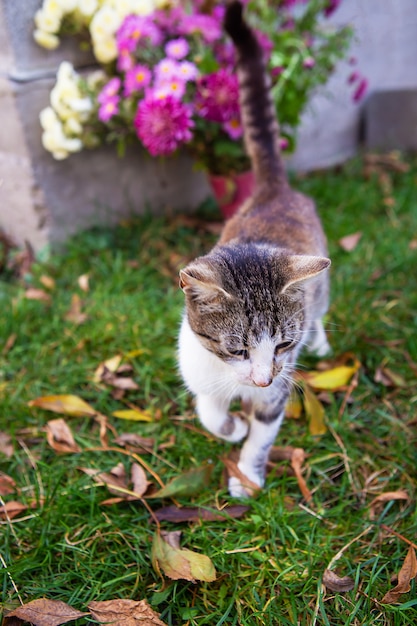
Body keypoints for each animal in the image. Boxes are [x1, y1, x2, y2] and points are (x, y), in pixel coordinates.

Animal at [177, 1, 330, 498]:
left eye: (283, 343)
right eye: (237, 349)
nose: (262, 377)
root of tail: (272, 189)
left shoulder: (279, 388)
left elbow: (264, 431)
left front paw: (248, 473)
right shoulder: (199, 365)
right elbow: (209, 410)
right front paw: (231, 427)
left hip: (320, 280)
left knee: (320, 304)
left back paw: (321, 339)